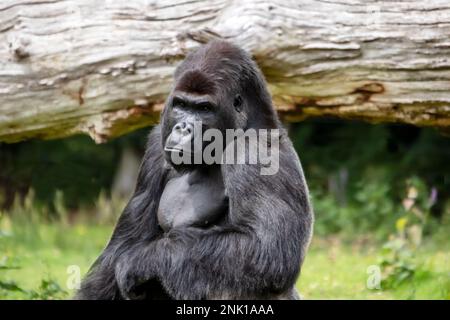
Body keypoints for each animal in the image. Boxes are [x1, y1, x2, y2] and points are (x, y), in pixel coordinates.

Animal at [75, 40, 312, 300]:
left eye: (204, 108)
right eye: (181, 105)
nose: (183, 127)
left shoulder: (256, 150)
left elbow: (266, 251)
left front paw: (140, 260)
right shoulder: (155, 147)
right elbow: (117, 250)